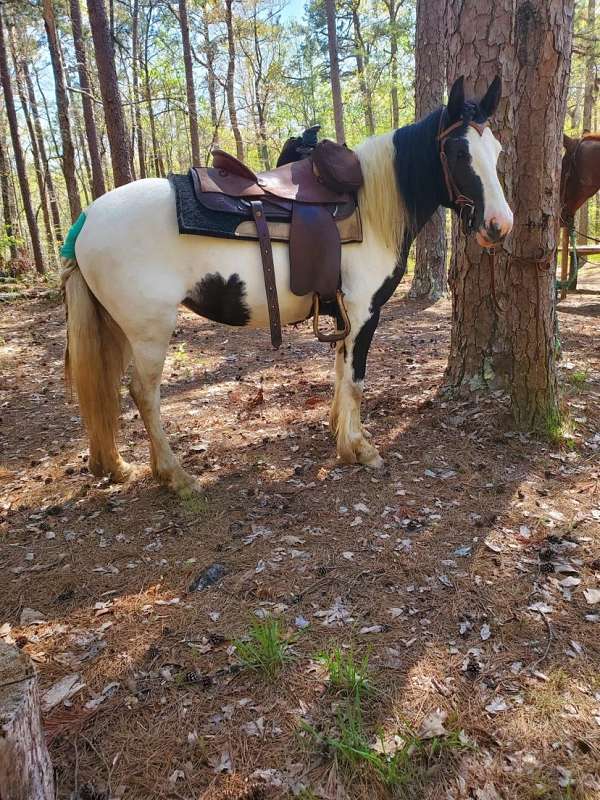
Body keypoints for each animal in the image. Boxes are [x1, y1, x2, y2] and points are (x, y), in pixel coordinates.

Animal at [62, 78, 510, 496]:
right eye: (458, 152)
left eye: (498, 151)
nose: (499, 225)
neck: (370, 210)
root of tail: (87, 217)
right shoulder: (365, 311)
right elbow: (356, 380)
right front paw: (360, 449)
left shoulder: (345, 314)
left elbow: (340, 373)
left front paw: (340, 434)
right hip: (150, 330)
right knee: (144, 394)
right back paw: (177, 476)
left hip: (120, 329)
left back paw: (121, 466)